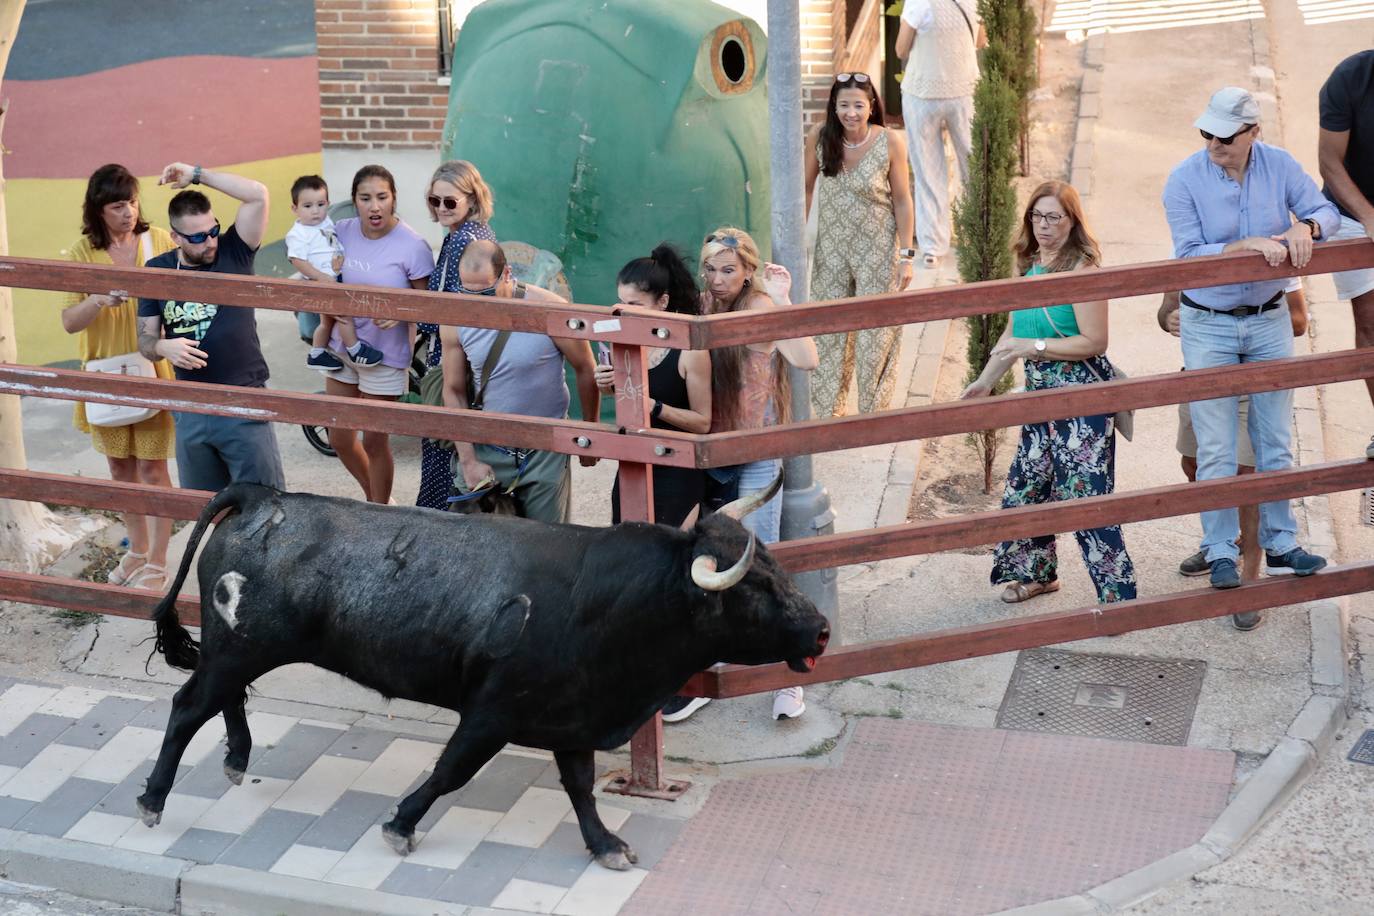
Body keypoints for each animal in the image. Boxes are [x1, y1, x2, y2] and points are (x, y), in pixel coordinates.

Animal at [139, 483, 829, 873]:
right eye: (754, 588)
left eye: (775, 566)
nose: (821, 631)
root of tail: (262, 497)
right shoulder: (493, 712)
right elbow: (452, 771)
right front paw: (401, 826)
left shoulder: (573, 715)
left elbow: (581, 787)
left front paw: (606, 844)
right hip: (239, 648)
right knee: (186, 707)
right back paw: (152, 801)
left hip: (238, 649)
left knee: (222, 699)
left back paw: (237, 758)